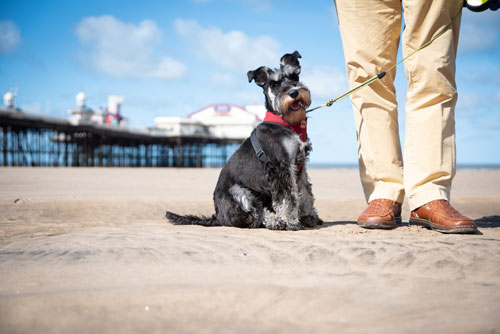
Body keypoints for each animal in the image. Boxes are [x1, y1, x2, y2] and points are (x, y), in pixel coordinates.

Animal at [166, 51, 322, 230]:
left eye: (294, 77)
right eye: (274, 84)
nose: (294, 93)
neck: (286, 122)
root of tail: (217, 217)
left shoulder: (300, 166)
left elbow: (305, 191)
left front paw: (308, 216)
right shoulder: (281, 167)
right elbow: (288, 197)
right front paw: (291, 222)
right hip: (240, 193)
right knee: (255, 217)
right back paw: (275, 221)